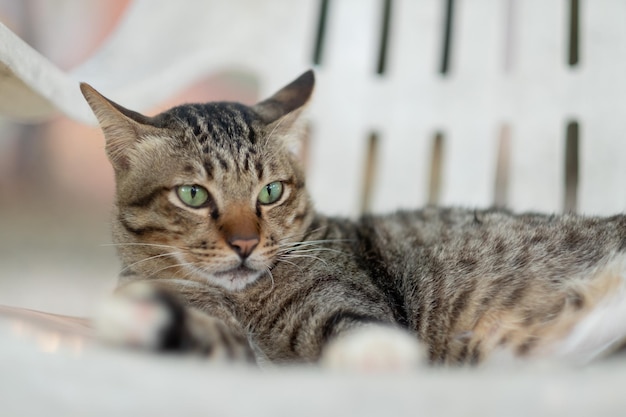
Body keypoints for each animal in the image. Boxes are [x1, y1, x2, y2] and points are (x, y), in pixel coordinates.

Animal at [80, 70, 624, 368]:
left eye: (271, 192)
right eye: (193, 195)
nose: (245, 244)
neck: (243, 301)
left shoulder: (347, 302)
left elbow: (360, 328)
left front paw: (382, 355)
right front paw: (143, 316)